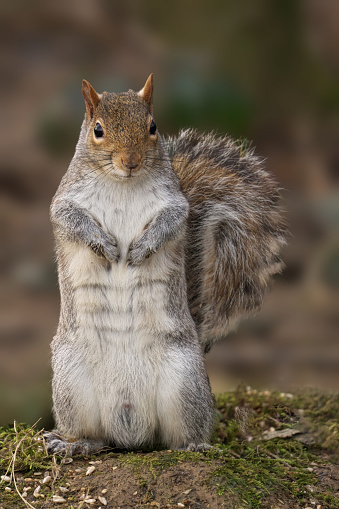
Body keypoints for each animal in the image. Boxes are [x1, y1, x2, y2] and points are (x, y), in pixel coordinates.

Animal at [45, 73, 286, 454]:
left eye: (152, 127)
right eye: (98, 130)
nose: (130, 161)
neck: (122, 183)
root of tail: (130, 429)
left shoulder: (175, 204)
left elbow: (171, 221)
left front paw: (141, 249)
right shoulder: (65, 201)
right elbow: (71, 220)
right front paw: (106, 246)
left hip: (184, 380)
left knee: (179, 433)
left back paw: (195, 446)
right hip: (71, 381)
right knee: (97, 436)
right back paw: (75, 444)